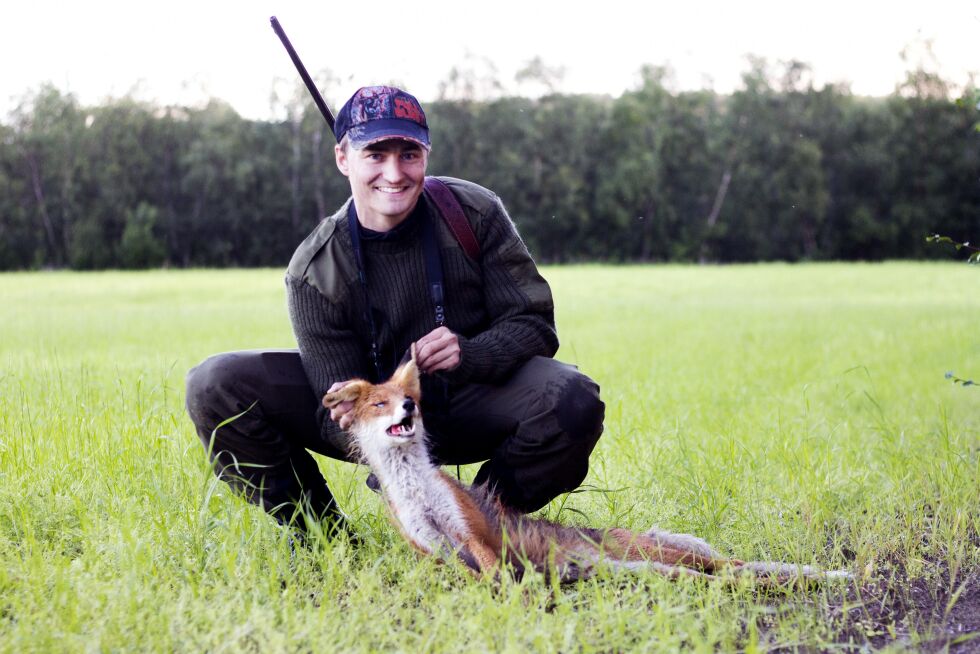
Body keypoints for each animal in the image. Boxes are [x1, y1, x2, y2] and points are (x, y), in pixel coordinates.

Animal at [322, 352, 848, 588]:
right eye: (379, 403)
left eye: (405, 398)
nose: (410, 405)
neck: (416, 489)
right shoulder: (438, 550)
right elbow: (479, 580)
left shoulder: (471, 534)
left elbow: (496, 571)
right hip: (644, 568)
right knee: (716, 574)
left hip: (658, 556)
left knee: (733, 565)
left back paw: (822, 576)